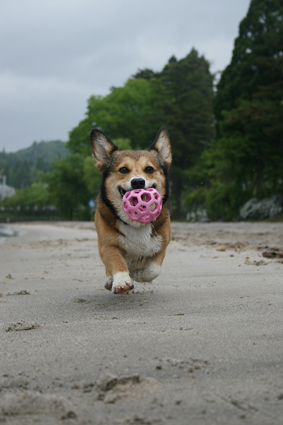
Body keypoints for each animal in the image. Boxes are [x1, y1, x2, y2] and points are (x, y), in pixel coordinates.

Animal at [91, 126, 172, 294]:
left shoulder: (161, 245)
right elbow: (116, 262)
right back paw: (111, 280)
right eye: (123, 169)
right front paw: (121, 281)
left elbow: (153, 269)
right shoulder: (108, 246)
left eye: (149, 169)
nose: (138, 182)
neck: (136, 222)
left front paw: (139, 274)